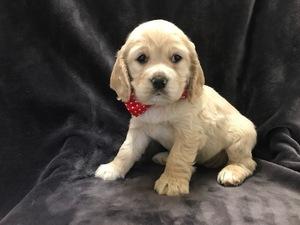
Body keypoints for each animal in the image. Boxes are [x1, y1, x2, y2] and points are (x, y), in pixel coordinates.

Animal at [95, 18, 256, 195]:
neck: (160, 106)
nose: (159, 80)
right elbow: (125, 150)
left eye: (176, 58)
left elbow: (178, 157)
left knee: (247, 163)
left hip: (240, 137)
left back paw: (232, 171)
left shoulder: (188, 133)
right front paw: (113, 168)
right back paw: (164, 156)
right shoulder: (138, 128)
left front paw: (171, 181)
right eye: (142, 58)